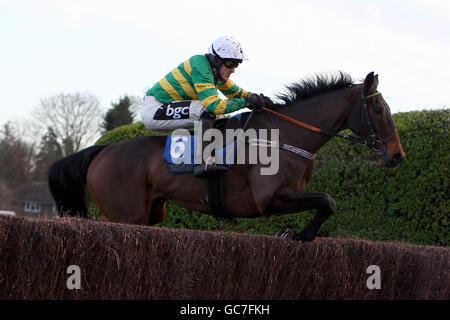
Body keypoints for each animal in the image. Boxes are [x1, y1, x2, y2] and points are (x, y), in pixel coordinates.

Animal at [48, 72, 404, 241]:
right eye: (377, 108)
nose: (397, 156)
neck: (285, 136)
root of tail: (102, 150)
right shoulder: (269, 199)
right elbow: (328, 200)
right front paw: (299, 234)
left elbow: (326, 202)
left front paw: (296, 233)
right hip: (124, 215)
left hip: (150, 213)